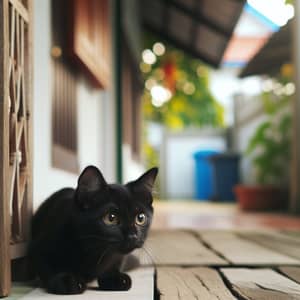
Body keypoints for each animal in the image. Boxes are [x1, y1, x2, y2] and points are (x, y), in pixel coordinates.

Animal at [27, 166, 158, 296]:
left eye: (140, 218)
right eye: (111, 218)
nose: (133, 235)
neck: (94, 250)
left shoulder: (117, 256)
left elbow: (114, 264)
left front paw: (114, 278)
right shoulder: (39, 247)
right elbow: (49, 265)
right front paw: (66, 280)